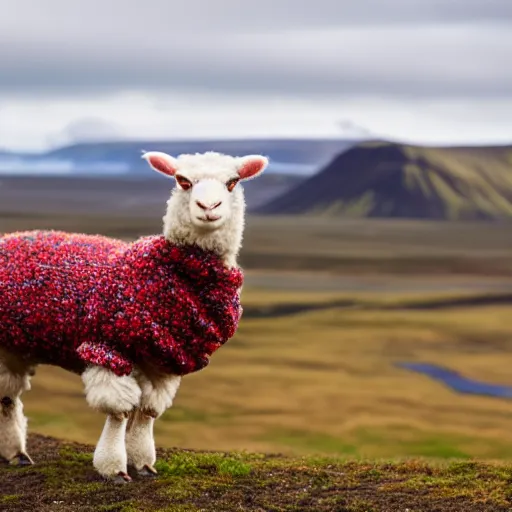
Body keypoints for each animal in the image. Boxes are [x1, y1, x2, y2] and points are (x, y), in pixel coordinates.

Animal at [0, 150, 270, 482]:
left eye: (233, 182)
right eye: (182, 180)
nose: (209, 207)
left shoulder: (165, 362)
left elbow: (147, 412)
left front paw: (143, 464)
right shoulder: (107, 349)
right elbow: (120, 412)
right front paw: (114, 468)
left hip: (13, 346)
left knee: (7, 397)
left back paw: (16, 453)